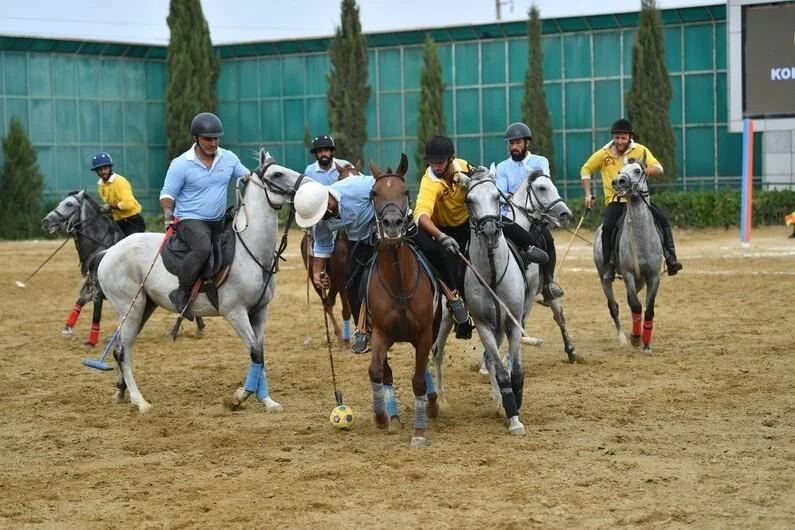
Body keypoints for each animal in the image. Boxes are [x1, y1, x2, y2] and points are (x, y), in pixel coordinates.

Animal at [98, 148, 308, 412]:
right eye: (277, 174)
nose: (309, 186)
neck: (250, 251)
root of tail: (109, 252)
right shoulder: (234, 312)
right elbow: (254, 353)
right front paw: (238, 397)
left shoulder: (259, 312)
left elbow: (260, 353)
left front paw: (268, 401)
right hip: (131, 307)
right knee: (122, 352)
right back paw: (140, 401)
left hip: (143, 307)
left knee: (121, 346)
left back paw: (120, 392)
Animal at [298, 161, 360, 342]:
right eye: (341, 178)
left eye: (358, 174)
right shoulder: (342, 277)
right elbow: (346, 309)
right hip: (315, 277)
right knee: (327, 303)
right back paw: (340, 336)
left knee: (330, 300)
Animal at [366, 153, 442, 446]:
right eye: (374, 193)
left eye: (405, 192)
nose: (392, 225)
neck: (399, 283)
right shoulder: (380, 332)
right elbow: (376, 371)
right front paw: (381, 417)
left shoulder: (423, 332)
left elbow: (419, 379)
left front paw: (419, 432)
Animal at [592, 153, 664, 350]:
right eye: (619, 171)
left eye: (638, 170)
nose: (619, 182)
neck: (641, 239)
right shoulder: (629, 274)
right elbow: (636, 306)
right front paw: (635, 338)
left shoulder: (653, 276)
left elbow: (649, 310)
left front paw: (646, 344)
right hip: (604, 277)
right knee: (614, 306)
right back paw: (622, 338)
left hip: (641, 281)